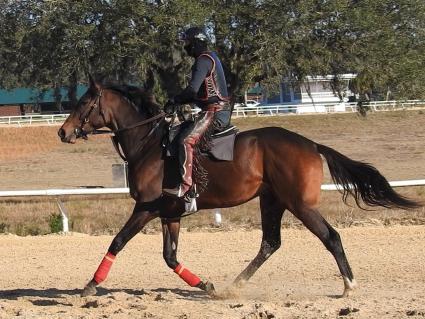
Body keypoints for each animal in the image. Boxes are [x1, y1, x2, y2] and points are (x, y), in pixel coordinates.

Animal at [58, 75, 420, 300]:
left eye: (85, 102)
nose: (63, 131)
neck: (149, 144)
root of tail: (310, 143)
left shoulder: (145, 208)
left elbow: (118, 241)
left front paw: (91, 284)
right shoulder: (169, 213)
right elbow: (170, 257)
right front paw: (206, 285)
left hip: (300, 205)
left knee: (330, 237)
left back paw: (348, 286)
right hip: (272, 201)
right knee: (270, 243)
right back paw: (234, 286)